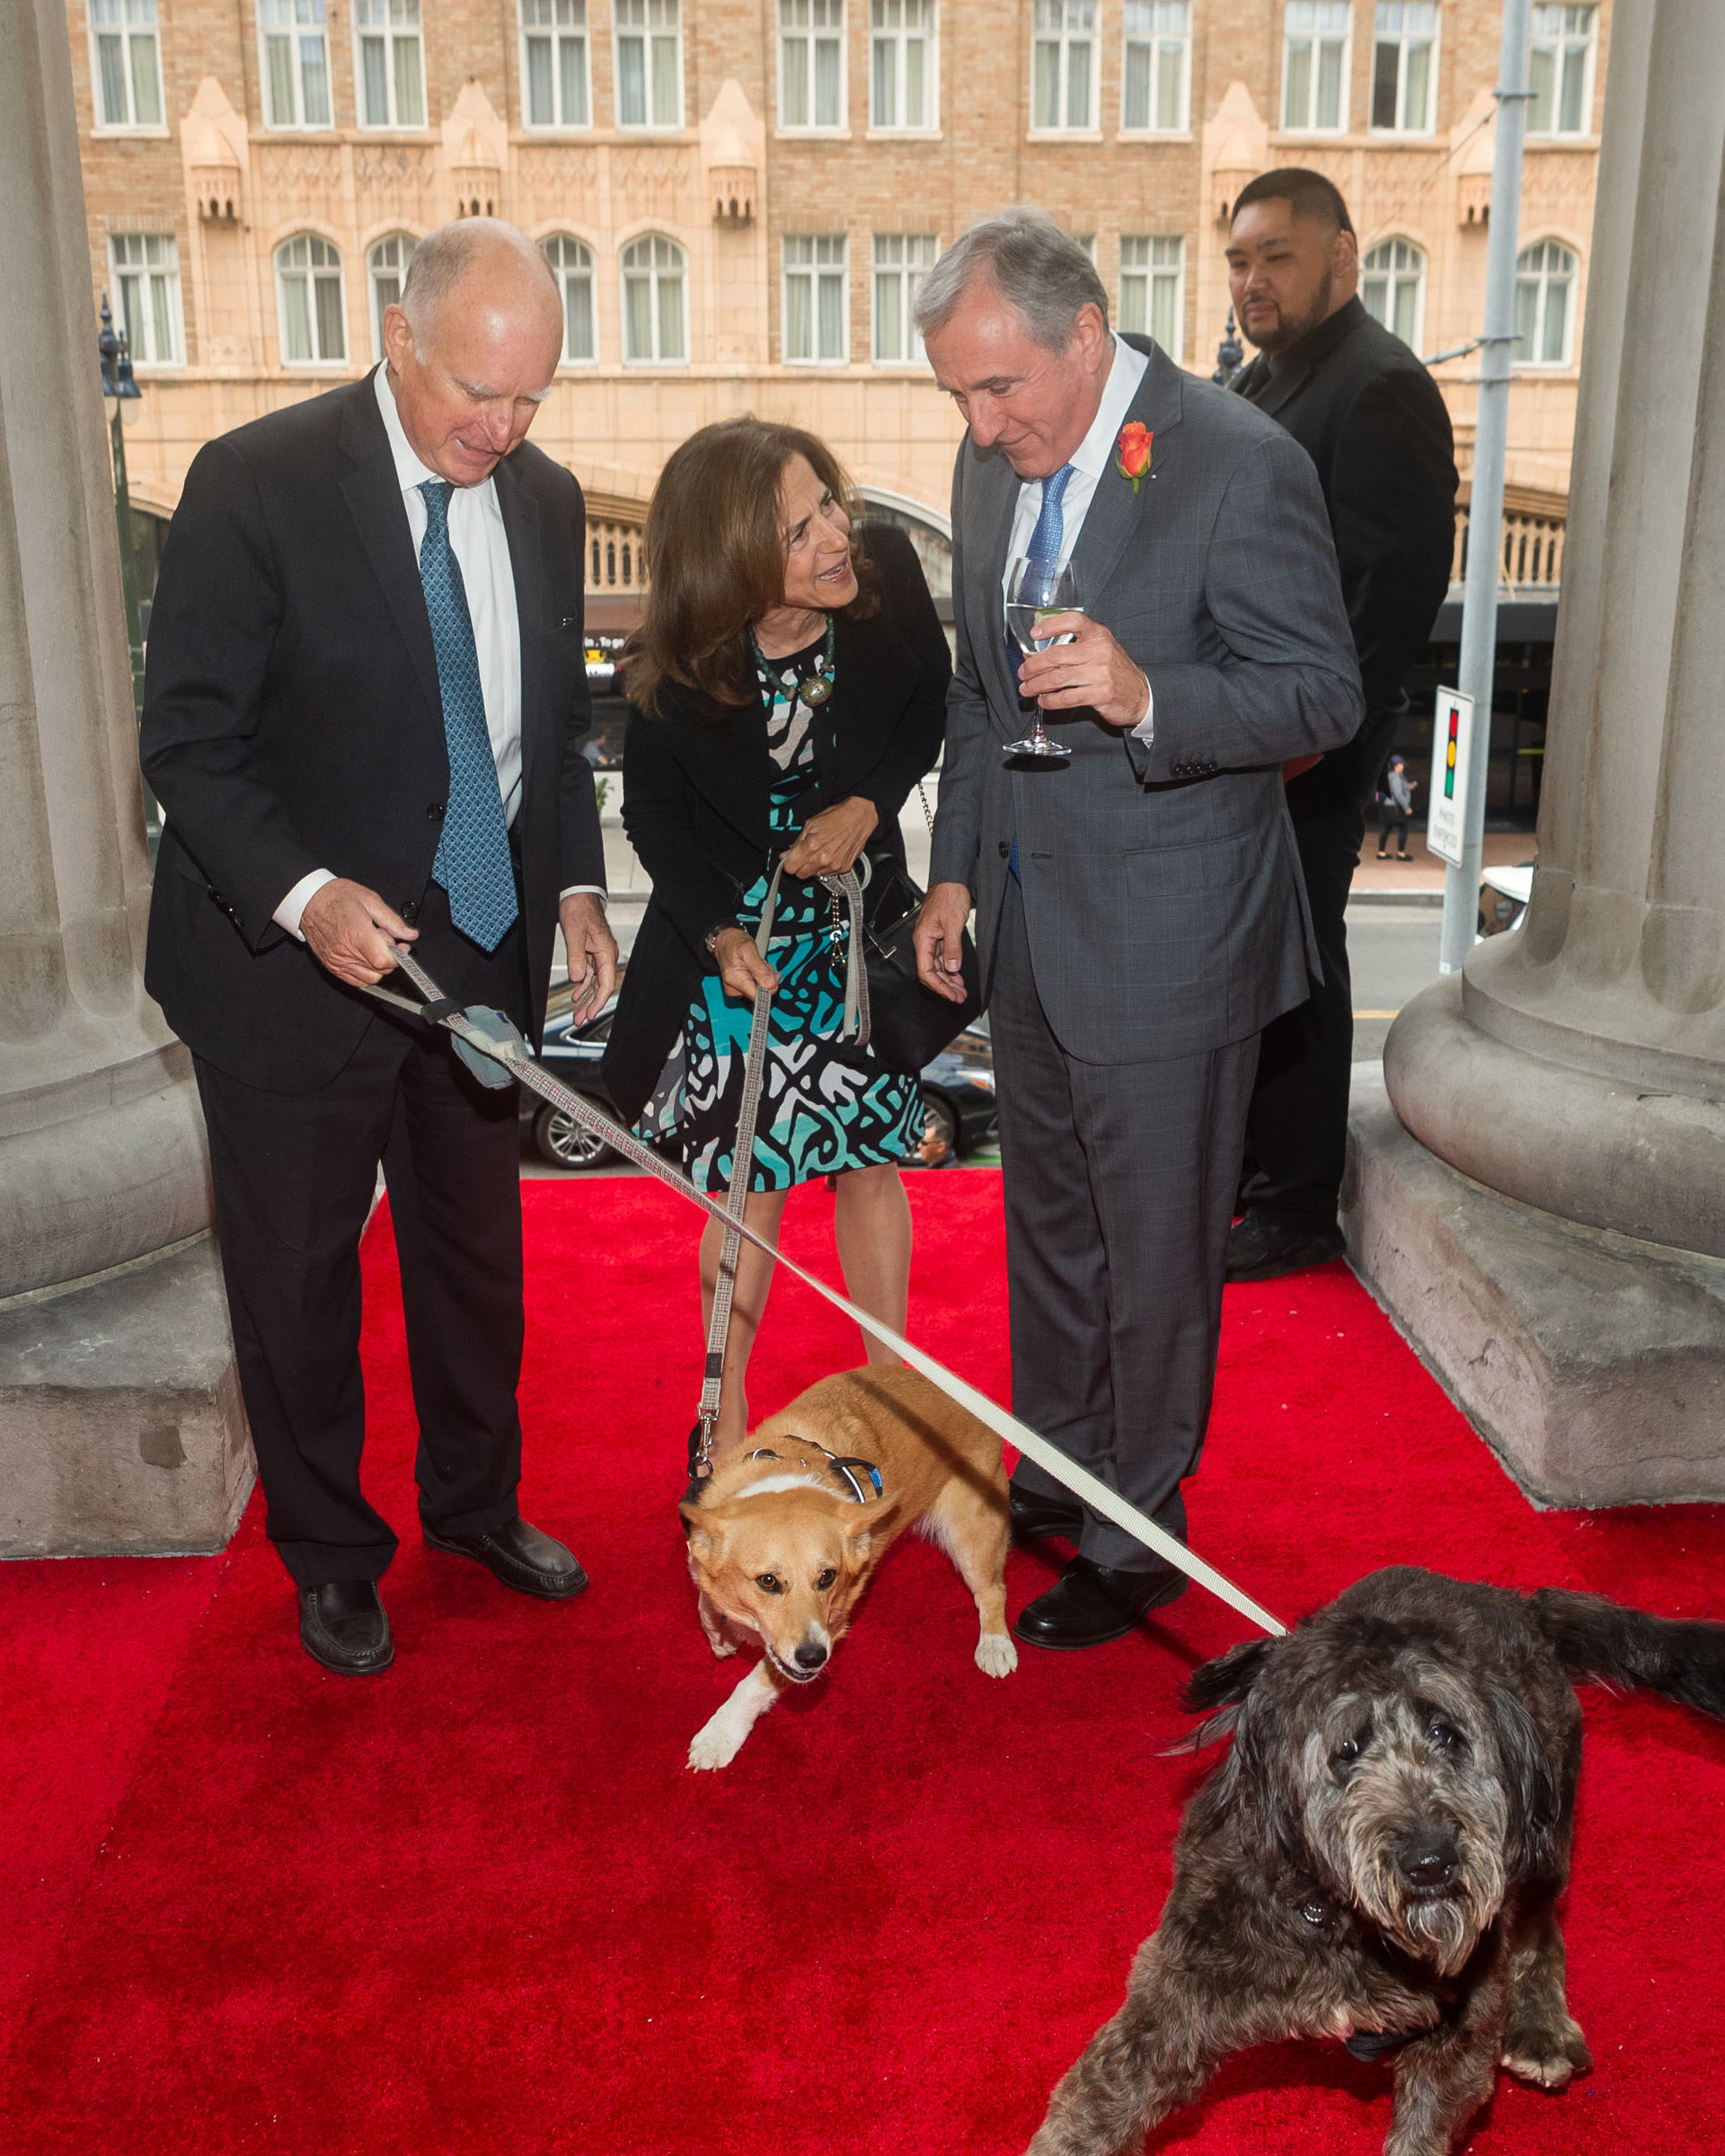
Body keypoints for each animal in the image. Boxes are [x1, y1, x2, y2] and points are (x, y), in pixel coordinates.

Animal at [681, 1362, 1017, 1768]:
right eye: (767, 1581)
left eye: (828, 1577)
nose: (814, 1658)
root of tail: (974, 1399)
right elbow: (706, 1593)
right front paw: (719, 1629)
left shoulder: (829, 1627)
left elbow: (755, 1684)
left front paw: (720, 1736)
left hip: (971, 1534)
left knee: (992, 1591)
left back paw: (995, 1646)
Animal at [1026, 1569, 1725, 2156]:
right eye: (1346, 1749)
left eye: (1446, 1733)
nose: (1431, 1861)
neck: (1337, 1918)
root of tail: (1514, 1602)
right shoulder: (1180, 1989)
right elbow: (1102, 2101)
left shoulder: (1462, 2026)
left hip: (1545, 1831)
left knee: (1539, 1925)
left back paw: (1543, 2026)